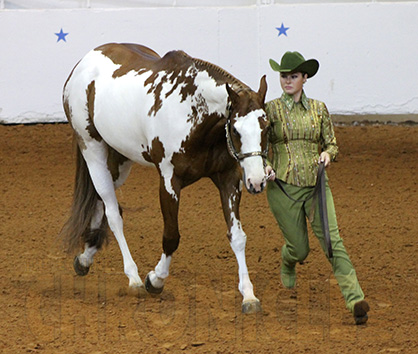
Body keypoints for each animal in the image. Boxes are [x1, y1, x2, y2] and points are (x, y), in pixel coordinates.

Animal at [62, 43, 270, 312]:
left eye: (267, 127)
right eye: (235, 129)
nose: (257, 181)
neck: (193, 114)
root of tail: (85, 61)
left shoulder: (228, 179)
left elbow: (237, 237)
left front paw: (249, 295)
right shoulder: (170, 182)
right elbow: (171, 237)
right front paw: (155, 279)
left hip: (119, 159)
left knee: (101, 202)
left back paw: (85, 258)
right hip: (93, 150)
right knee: (113, 213)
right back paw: (133, 278)